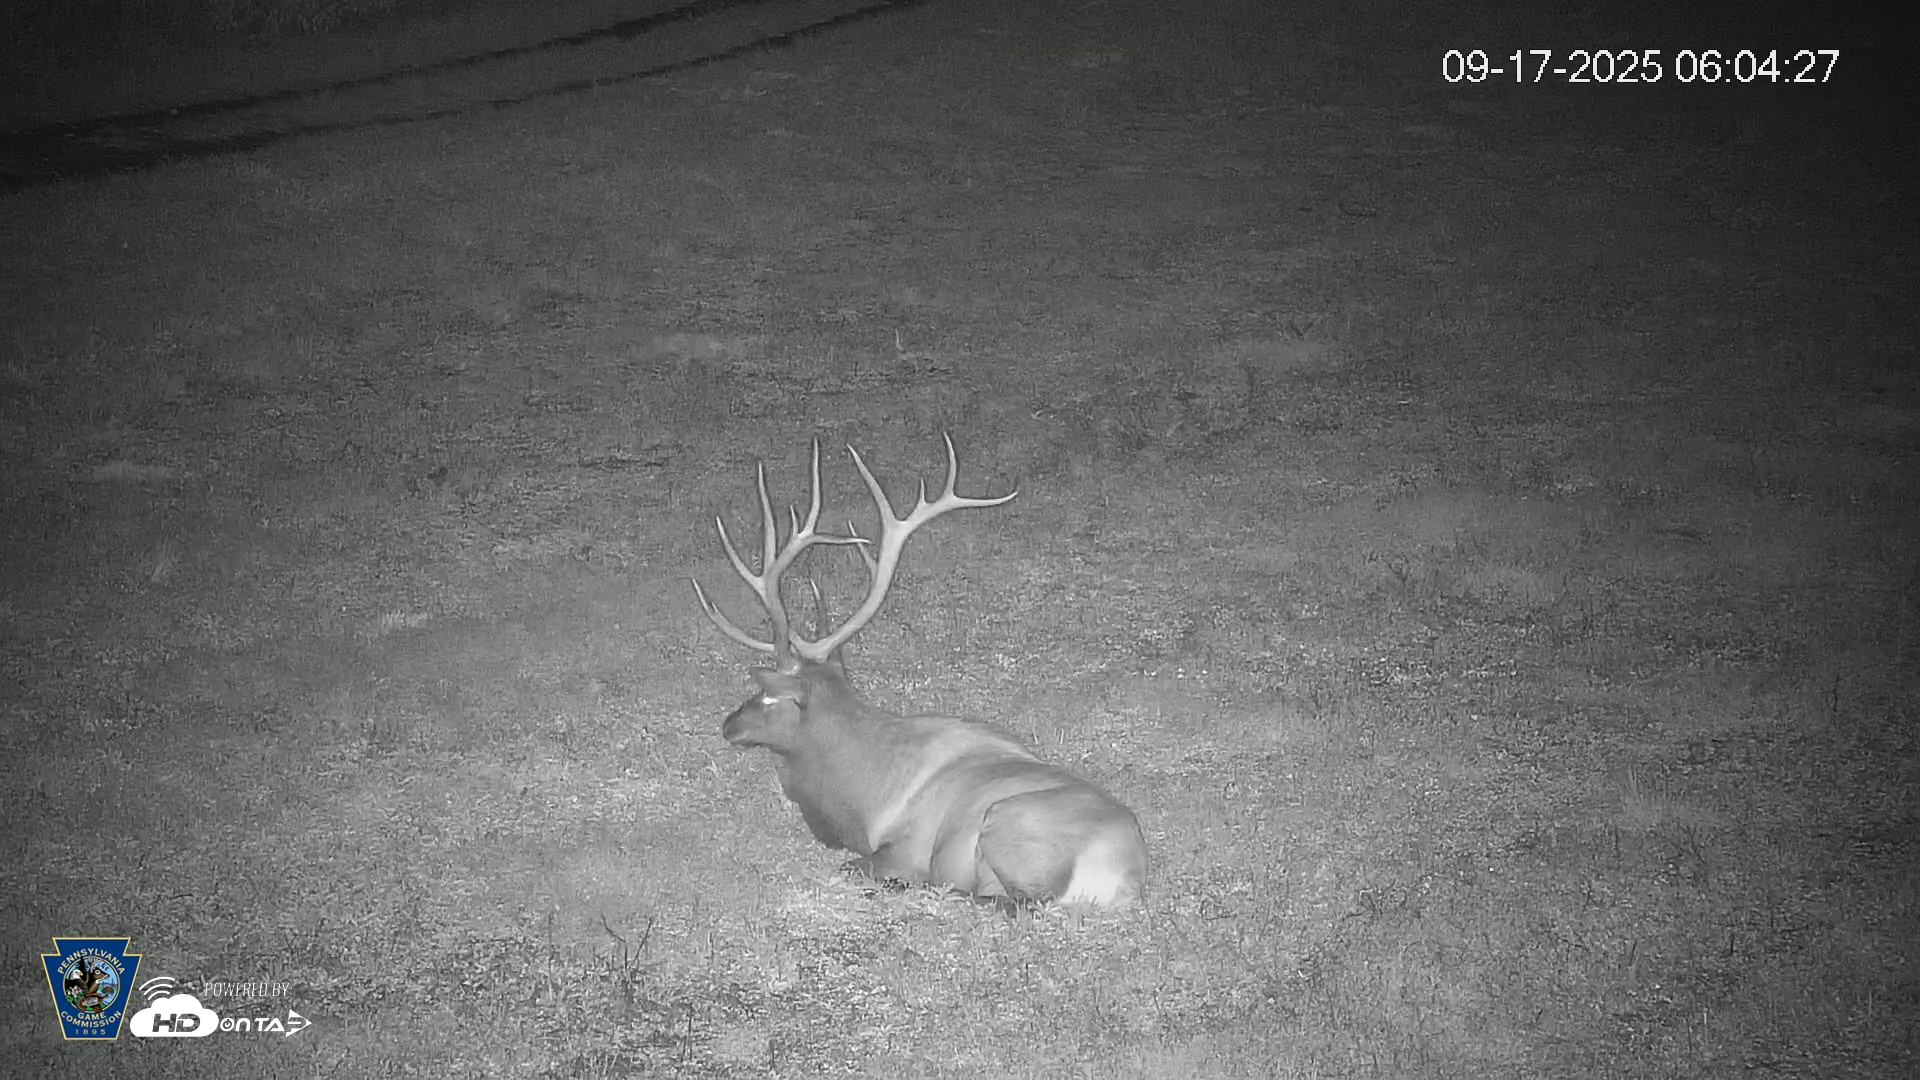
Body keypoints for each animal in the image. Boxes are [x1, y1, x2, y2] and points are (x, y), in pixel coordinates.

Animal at [692, 435, 1147, 908]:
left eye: (767, 697)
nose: (728, 724)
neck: (859, 795)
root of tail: (1124, 881)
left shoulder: (906, 848)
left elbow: (857, 866)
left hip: (1006, 821)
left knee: (1015, 901)